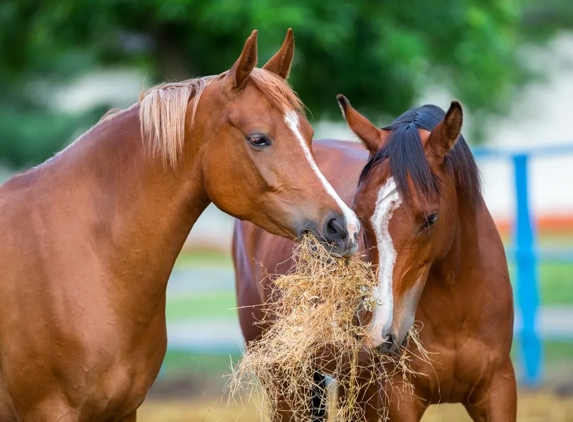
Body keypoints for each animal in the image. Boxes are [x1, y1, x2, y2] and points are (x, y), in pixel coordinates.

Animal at [230, 98, 516, 418]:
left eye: (431, 218)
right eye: (360, 214)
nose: (382, 333)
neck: (457, 311)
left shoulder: (498, 389)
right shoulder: (396, 398)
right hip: (286, 383)